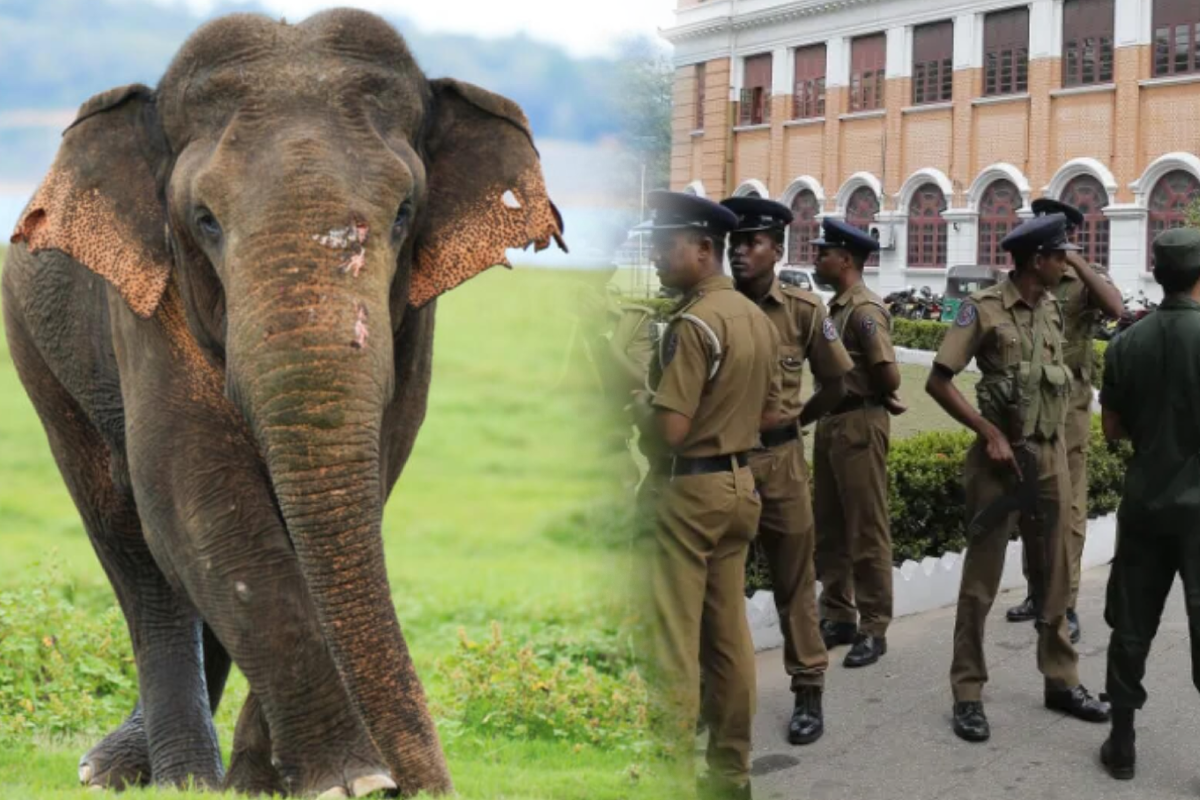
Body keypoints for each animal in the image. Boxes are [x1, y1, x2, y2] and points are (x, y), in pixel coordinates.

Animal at [2, 8, 565, 798]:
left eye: (405, 213)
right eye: (204, 218)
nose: (419, 785)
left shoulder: (413, 317)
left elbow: (352, 483)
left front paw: (277, 781)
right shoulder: (149, 301)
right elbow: (200, 496)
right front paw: (347, 781)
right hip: (38, 354)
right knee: (130, 540)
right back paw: (163, 775)